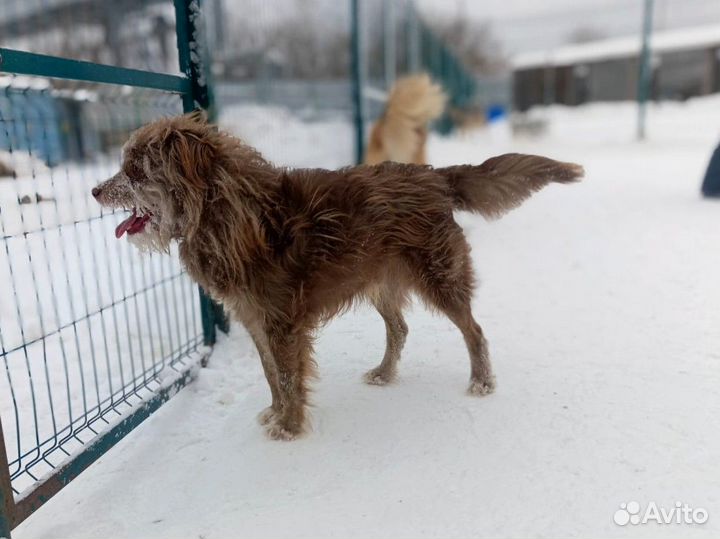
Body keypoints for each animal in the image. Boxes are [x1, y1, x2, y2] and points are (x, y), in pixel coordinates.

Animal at [91, 112, 584, 440]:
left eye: (135, 170)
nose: (94, 190)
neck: (224, 211)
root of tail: (434, 177)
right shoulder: (254, 319)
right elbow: (272, 376)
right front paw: (275, 414)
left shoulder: (282, 323)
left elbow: (289, 377)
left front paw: (290, 428)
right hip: (380, 281)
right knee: (400, 328)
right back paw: (385, 374)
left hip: (440, 276)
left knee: (474, 330)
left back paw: (482, 381)